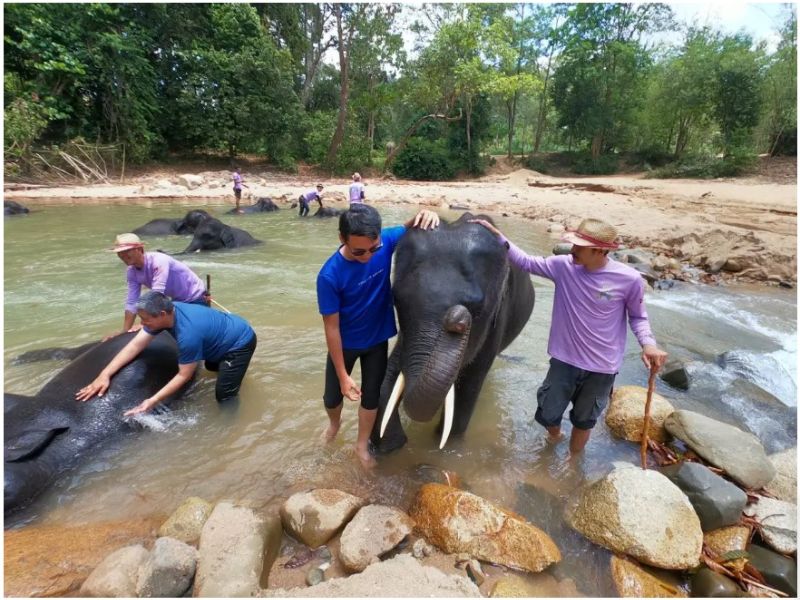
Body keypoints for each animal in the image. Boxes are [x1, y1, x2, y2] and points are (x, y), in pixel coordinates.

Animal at [370, 213, 536, 452]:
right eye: (396, 300)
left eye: (477, 309)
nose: (457, 318)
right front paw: (389, 446)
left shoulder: (497, 318)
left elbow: (470, 384)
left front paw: (445, 447)